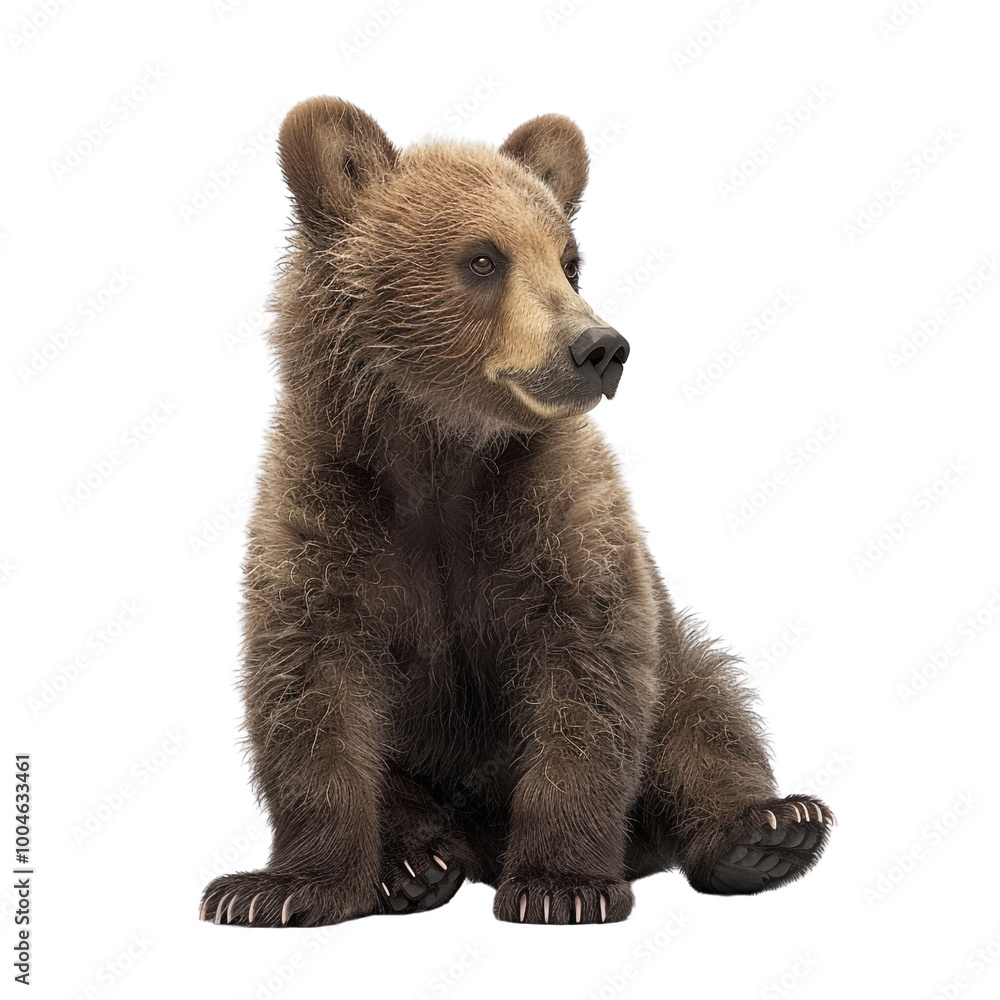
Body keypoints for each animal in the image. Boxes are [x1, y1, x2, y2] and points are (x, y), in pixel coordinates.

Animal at [199, 97, 835, 928]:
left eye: (569, 260)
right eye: (482, 259)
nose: (600, 347)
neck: (441, 450)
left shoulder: (558, 516)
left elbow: (586, 681)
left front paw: (563, 884)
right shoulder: (327, 511)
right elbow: (312, 691)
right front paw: (274, 889)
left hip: (676, 660)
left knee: (704, 706)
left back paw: (767, 831)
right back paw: (412, 865)